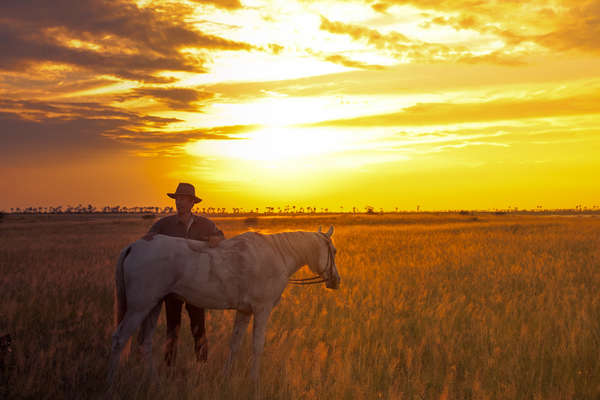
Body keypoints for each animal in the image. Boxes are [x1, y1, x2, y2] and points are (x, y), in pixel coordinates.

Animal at [108, 225, 340, 384]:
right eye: (335, 251)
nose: (336, 281)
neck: (276, 255)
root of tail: (133, 246)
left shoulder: (244, 311)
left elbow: (235, 344)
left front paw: (226, 377)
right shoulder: (262, 310)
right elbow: (257, 346)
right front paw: (254, 381)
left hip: (153, 306)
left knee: (145, 343)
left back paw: (154, 381)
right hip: (138, 308)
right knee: (119, 340)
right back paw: (111, 382)